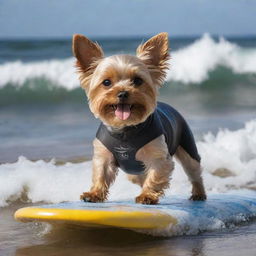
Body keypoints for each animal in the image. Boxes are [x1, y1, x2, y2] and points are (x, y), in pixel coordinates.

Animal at [72, 32, 206, 204]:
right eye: (106, 82)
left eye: (137, 81)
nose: (123, 93)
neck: (125, 129)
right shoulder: (103, 156)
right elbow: (101, 174)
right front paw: (94, 193)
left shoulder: (159, 157)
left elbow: (155, 176)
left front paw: (147, 195)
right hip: (133, 173)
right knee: (138, 177)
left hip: (187, 146)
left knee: (194, 171)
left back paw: (199, 193)